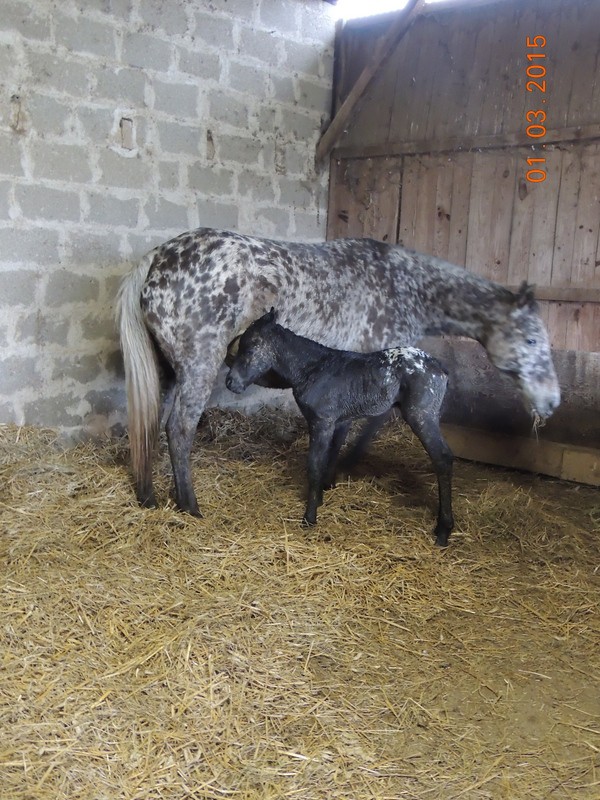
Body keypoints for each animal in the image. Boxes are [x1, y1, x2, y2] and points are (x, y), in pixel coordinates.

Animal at [225, 310, 454, 548]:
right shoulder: (340, 421)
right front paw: (323, 494)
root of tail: (439, 367)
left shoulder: (321, 422)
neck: (313, 369)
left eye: (249, 347)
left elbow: (315, 465)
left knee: (442, 458)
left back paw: (443, 530)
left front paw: (309, 517)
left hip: (421, 416)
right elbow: (333, 452)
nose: (230, 382)